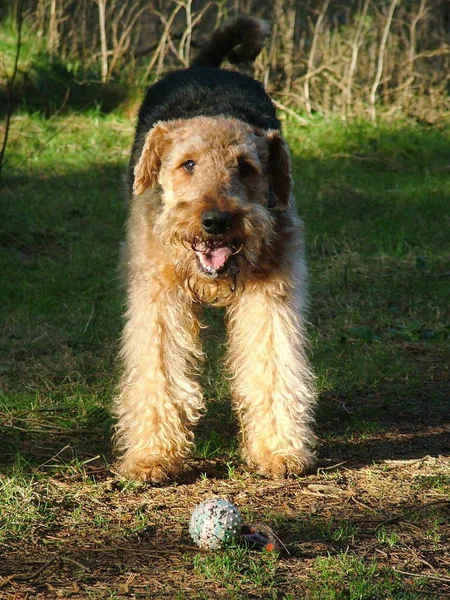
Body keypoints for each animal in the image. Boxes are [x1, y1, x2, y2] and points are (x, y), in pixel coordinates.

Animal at [113, 17, 316, 482]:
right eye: (187, 164)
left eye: (246, 167)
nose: (217, 222)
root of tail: (207, 68)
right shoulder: (159, 299)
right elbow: (159, 373)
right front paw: (153, 457)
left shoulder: (271, 298)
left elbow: (273, 367)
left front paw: (278, 450)